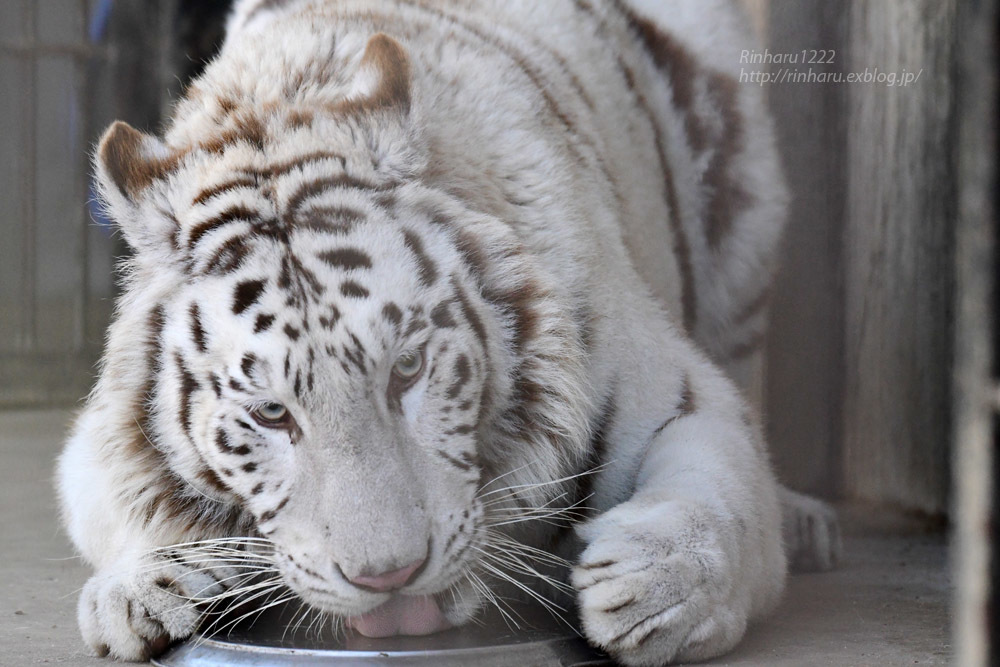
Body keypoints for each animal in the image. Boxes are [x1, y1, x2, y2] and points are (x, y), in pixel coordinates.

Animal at [54, 0, 836, 664]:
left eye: (406, 370)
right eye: (272, 412)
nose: (389, 576)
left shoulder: (673, 389)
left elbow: (720, 491)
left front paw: (651, 588)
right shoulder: (92, 450)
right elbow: (121, 510)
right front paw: (138, 589)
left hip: (744, 220)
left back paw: (806, 523)